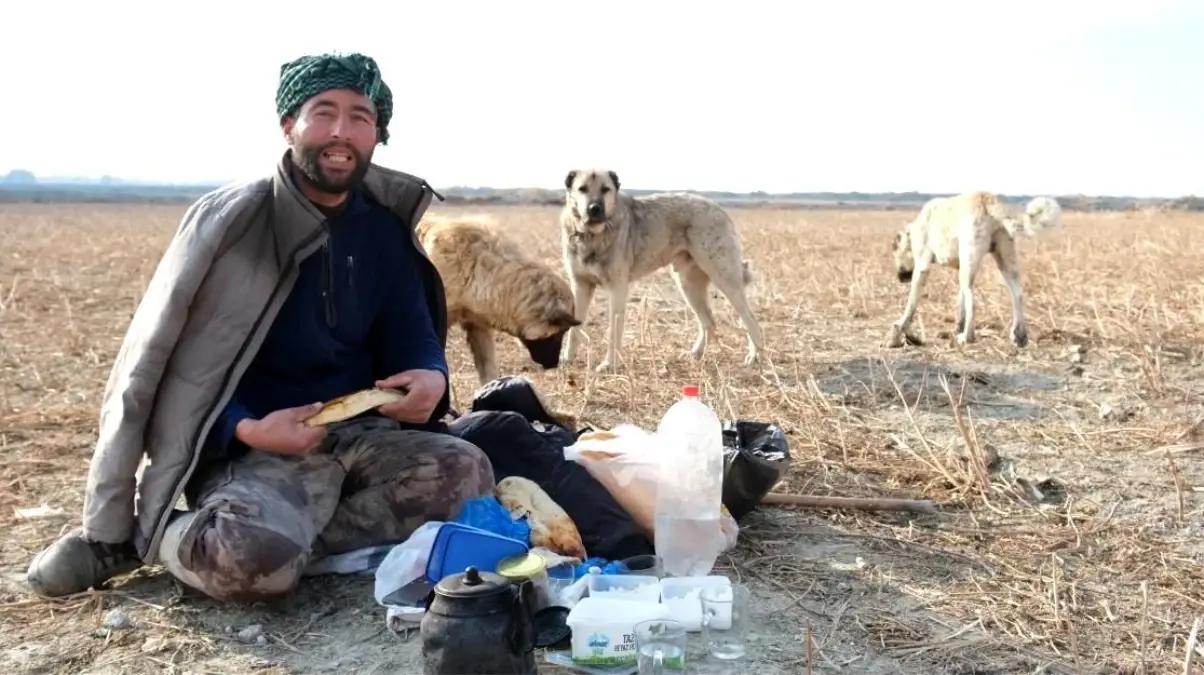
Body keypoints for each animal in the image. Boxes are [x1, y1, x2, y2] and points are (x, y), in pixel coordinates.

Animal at [556, 166, 760, 370]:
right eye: (582, 189)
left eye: (605, 189)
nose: (594, 209)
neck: (591, 236)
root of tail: (718, 208)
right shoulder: (580, 286)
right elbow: (574, 328)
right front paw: (567, 359)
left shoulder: (617, 289)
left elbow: (614, 331)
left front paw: (609, 365)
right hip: (688, 285)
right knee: (709, 322)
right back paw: (695, 354)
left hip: (724, 278)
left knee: (751, 321)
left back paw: (754, 357)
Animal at [890, 190, 1059, 346]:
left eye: (895, 252)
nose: (900, 277)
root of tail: (988, 199)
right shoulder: (961, 269)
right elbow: (960, 303)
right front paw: (958, 328)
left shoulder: (922, 267)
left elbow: (911, 305)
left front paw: (898, 331)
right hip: (1004, 262)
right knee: (1017, 295)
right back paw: (1020, 336)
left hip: (971, 262)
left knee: (974, 302)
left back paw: (967, 337)